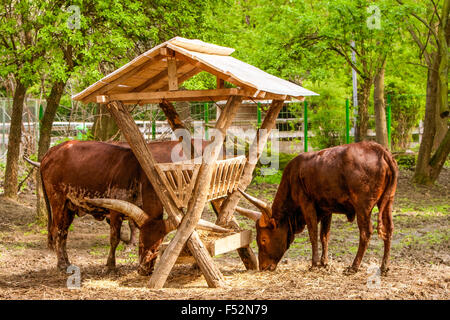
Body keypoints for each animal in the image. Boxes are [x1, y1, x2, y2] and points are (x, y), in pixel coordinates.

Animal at [239, 142, 398, 276]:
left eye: (263, 239)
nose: (263, 267)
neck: (292, 177)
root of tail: (381, 150)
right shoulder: (327, 209)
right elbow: (324, 235)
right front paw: (324, 262)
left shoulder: (307, 204)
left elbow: (313, 233)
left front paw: (314, 263)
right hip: (388, 201)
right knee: (389, 229)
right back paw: (384, 267)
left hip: (363, 206)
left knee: (366, 232)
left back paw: (354, 266)